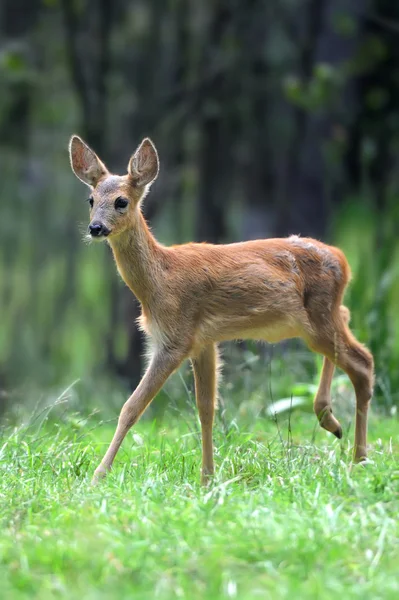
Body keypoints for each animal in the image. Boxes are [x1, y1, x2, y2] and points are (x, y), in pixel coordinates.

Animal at [68, 135, 376, 482]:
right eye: (91, 199)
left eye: (121, 201)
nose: (95, 228)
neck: (161, 280)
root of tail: (343, 259)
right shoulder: (204, 342)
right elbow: (206, 409)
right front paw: (207, 478)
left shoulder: (175, 339)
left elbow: (131, 408)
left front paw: (98, 475)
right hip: (316, 319)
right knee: (349, 325)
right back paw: (331, 422)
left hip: (318, 318)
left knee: (363, 362)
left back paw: (359, 458)